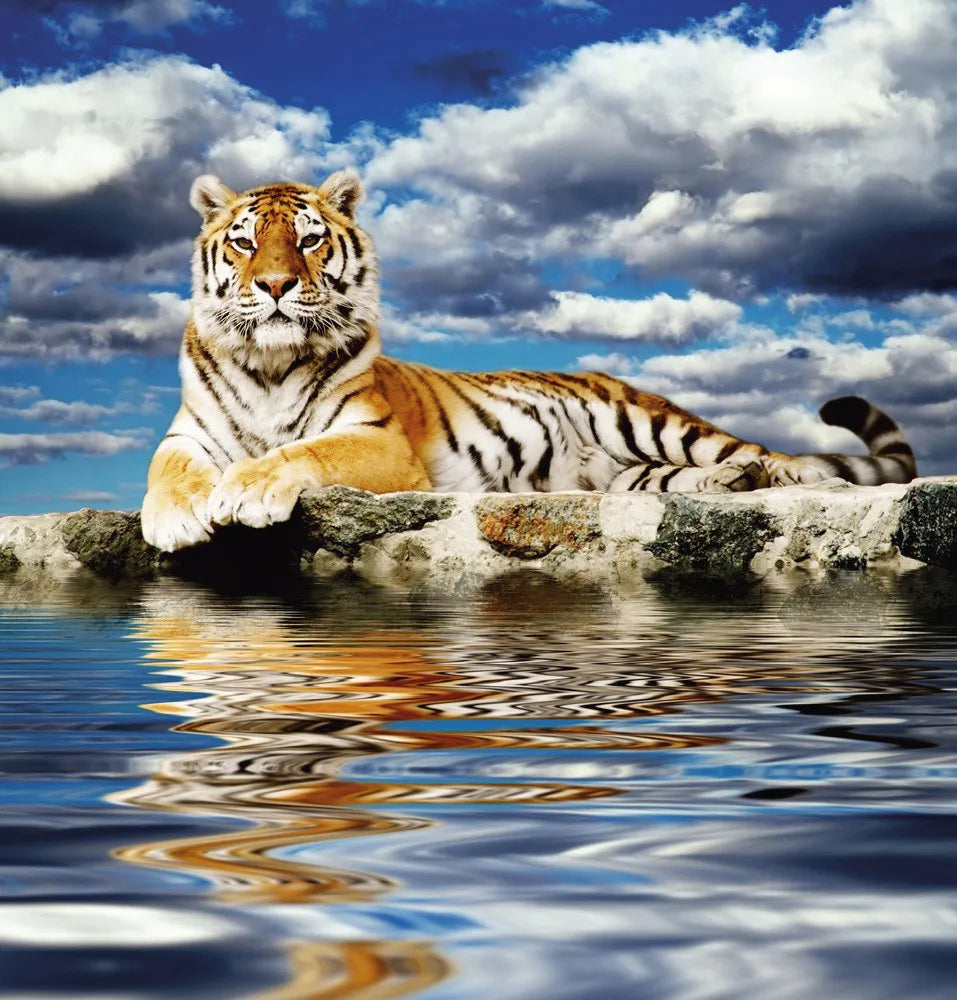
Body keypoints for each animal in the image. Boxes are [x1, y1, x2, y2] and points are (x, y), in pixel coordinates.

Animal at [141, 170, 917, 553]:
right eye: (244, 243)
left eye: (307, 241)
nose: (274, 286)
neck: (269, 365)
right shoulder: (190, 435)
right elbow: (167, 471)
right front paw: (176, 518)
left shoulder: (376, 440)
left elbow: (303, 453)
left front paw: (243, 492)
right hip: (633, 471)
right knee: (690, 477)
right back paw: (727, 486)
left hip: (653, 422)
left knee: (776, 457)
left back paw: (794, 477)